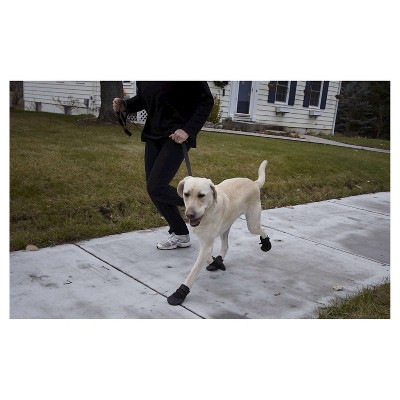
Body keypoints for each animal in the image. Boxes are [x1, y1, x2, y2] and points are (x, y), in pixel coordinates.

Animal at [167, 159, 270, 306]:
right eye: (186, 194)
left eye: (201, 195)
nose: (190, 214)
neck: (208, 210)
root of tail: (254, 183)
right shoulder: (205, 242)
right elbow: (207, 258)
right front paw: (216, 262)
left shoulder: (207, 244)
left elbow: (194, 271)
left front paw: (180, 293)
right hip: (225, 227)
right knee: (225, 246)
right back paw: (219, 260)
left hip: (252, 224)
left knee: (261, 230)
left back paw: (266, 244)